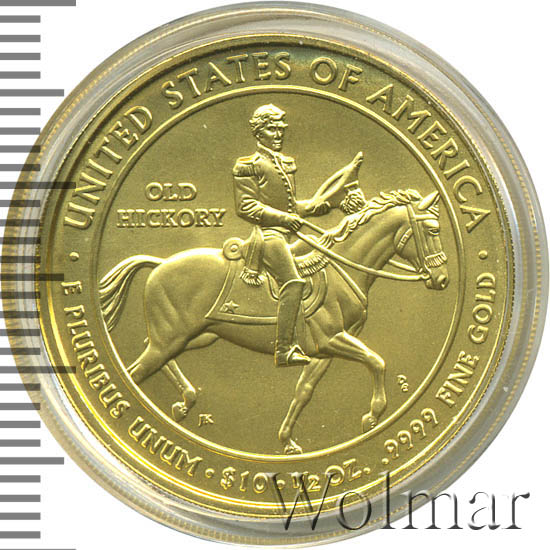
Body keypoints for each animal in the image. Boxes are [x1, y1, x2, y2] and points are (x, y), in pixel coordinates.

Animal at [99, 188, 449, 454]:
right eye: (433, 229)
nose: (442, 279)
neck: (341, 270)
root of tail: (159, 263)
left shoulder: (323, 352)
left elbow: (304, 391)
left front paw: (287, 441)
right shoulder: (334, 339)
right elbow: (377, 361)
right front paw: (373, 415)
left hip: (194, 336)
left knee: (159, 359)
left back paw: (185, 402)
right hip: (171, 338)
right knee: (138, 370)